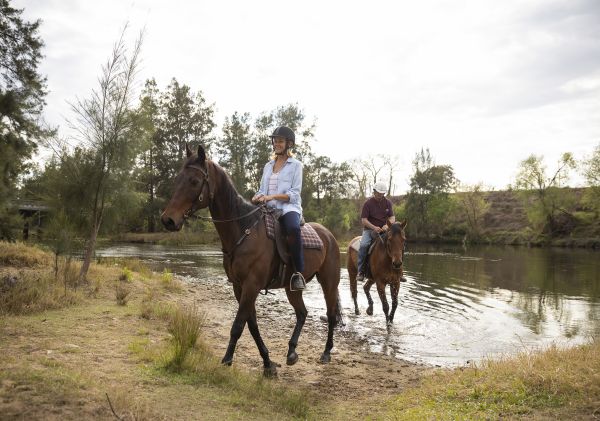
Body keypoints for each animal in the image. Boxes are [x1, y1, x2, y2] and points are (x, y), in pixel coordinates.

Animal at [162, 144, 340, 374]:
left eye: (194, 181)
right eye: (177, 179)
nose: (168, 220)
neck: (244, 230)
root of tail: (328, 235)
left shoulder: (251, 285)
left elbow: (238, 325)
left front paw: (227, 360)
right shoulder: (239, 287)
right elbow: (252, 324)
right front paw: (268, 363)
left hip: (329, 283)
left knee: (331, 315)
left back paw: (326, 353)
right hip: (292, 288)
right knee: (302, 313)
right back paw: (291, 352)